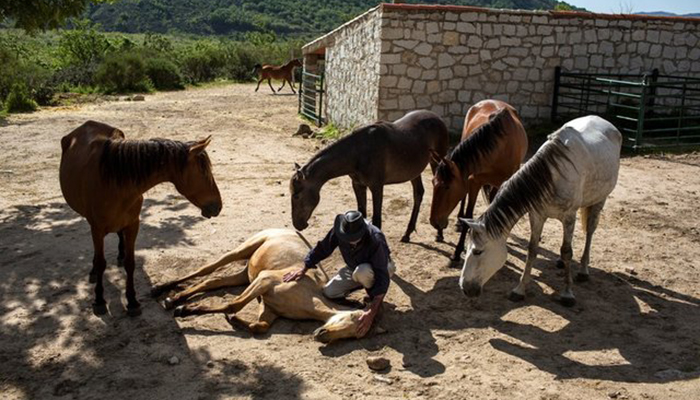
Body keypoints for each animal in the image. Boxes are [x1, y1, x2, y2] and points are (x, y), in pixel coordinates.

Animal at [62, 120, 223, 318]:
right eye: (202, 171)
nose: (218, 206)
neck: (115, 182)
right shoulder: (97, 229)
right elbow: (101, 263)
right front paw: (99, 300)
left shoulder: (133, 225)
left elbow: (130, 263)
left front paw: (132, 301)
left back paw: (120, 254)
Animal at [149, 230, 366, 342]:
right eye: (353, 318)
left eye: (355, 335)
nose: (322, 335)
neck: (309, 296)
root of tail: (289, 229)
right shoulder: (265, 280)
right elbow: (233, 304)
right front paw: (184, 311)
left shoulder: (269, 307)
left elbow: (259, 326)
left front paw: (233, 320)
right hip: (242, 251)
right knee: (206, 269)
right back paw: (163, 293)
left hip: (244, 275)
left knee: (213, 281)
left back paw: (172, 298)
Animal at [290, 108, 448, 241]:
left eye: (296, 195)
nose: (298, 225)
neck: (358, 152)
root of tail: (437, 118)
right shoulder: (358, 185)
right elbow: (362, 214)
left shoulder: (376, 187)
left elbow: (376, 220)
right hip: (414, 171)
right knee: (418, 193)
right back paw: (407, 234)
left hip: (437, 162)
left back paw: (439, 232)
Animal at [430, 99, 528, 262]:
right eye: (433, 183)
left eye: (447, 187)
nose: (434, 222)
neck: (501, 147)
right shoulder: (473, 181)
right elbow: (468, 215)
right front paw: (457, 252)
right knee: (464, 198)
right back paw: (457, 221)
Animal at [462, 115, 620, 306]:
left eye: (477, 251)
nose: (464, 288)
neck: (551, 176)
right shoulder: (537, 215)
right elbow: (532, 249)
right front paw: (519, 290)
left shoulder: (569, 216)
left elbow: (567, 251)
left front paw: (567, 294)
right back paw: (561, 262)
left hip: (599, 201)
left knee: (590, 231)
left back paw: (583, 270)